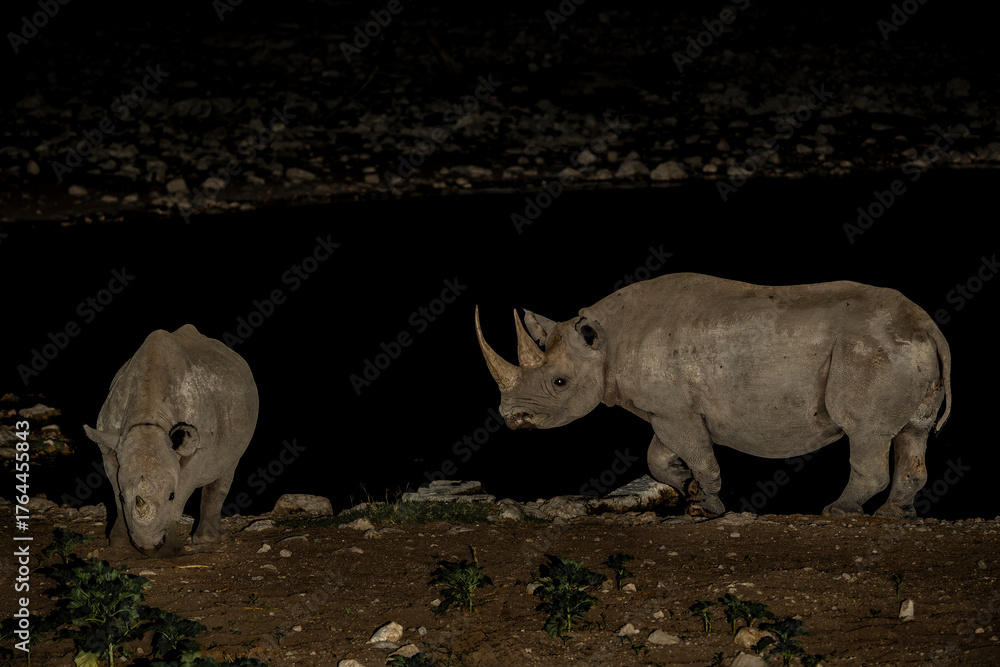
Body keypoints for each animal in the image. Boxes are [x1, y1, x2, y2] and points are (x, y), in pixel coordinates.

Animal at [84, 324, 259, 556]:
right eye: (123, 498)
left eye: (171, 496)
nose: (147, 548)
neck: (147, 423)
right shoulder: (109, 444)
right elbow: (115, 488)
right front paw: (119, 544)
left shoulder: (196, 448)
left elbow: (182, 490)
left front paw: (168, 552)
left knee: (228, 463)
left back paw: (210, 539)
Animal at [476, 273, 952, 518]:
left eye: (559, 383)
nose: (512, 416)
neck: (604, 341)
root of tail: (929, 326)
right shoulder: (667, 408)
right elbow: (658, 457)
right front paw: (688, 491)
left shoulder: (673, 410)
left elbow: (697, 455)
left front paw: (707, 507)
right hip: (903, 349)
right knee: (913, 432)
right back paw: (896, 516)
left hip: (872, 352)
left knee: (866, 433)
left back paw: (837, 511)